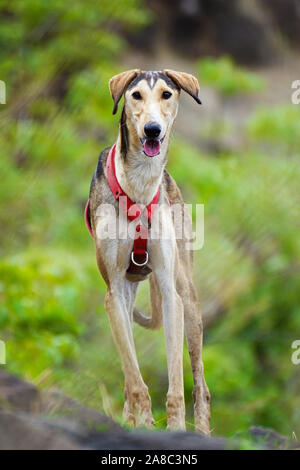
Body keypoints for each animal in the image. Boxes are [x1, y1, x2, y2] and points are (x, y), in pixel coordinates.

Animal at [85, 69, 210, 434]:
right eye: (136, 95)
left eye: (166, 94)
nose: (152, 129)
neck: (140, 183)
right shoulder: (113, 293)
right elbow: (134, 378)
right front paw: (140, 421)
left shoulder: (170, 293)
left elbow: (176, 383)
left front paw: (176, 428)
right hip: (126, 298)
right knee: (130, 375)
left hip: (190, 301)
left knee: (201, 386)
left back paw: (202, 432)